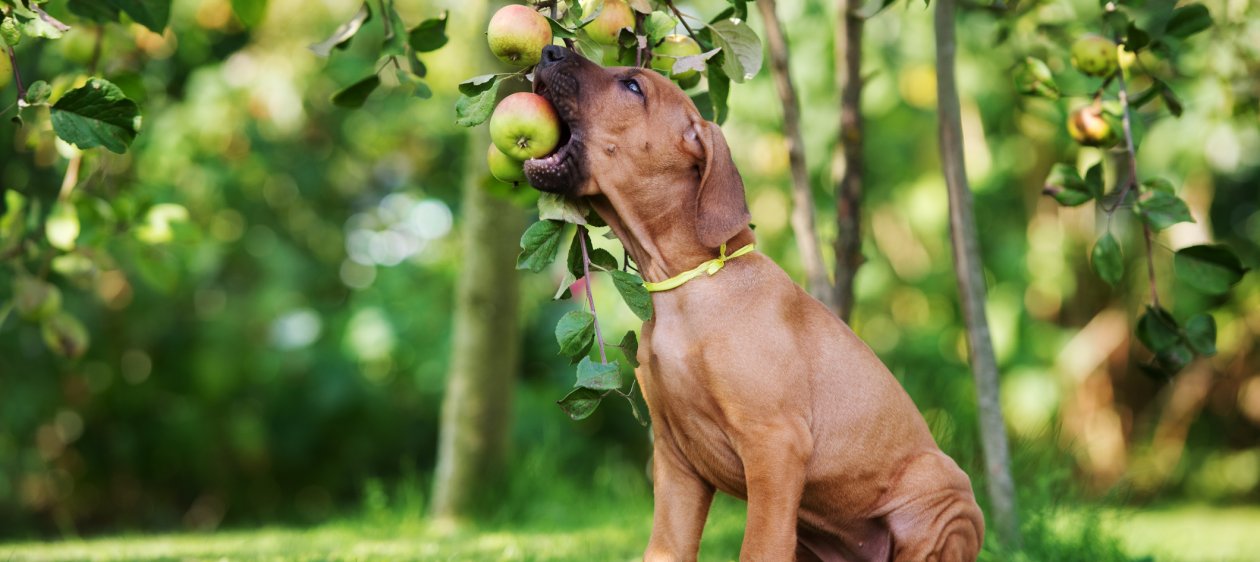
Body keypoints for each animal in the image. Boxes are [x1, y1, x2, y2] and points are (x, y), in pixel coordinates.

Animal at [526, 45, 987, 559]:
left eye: (633, 86)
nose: (549, 50)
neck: (687, 286)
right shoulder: (675, 459)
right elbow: (665, 548)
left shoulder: (775, 445)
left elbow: (759, 547)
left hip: (942, 501)